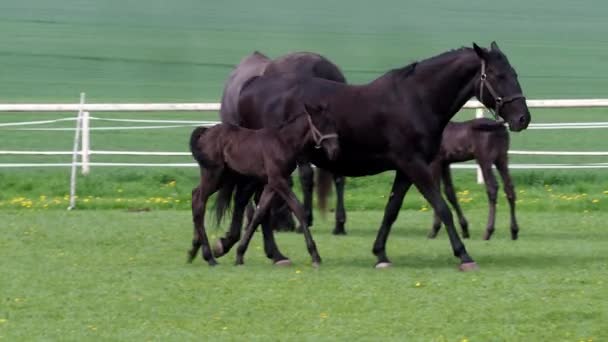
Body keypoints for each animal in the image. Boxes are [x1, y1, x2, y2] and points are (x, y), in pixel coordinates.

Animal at [188, 104, 340, 268]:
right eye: (320, 124)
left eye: (333, 123)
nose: (335, 150)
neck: (284, 142)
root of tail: (206, 132)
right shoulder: (278, 180)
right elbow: (297, 209)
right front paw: (315, 256)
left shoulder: (271, 183)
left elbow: (259, 214)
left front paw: (240, 254)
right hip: (213, 175)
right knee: (199, 202)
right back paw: (209, 257)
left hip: (223, 177)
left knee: (195, 196)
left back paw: (194, 251)